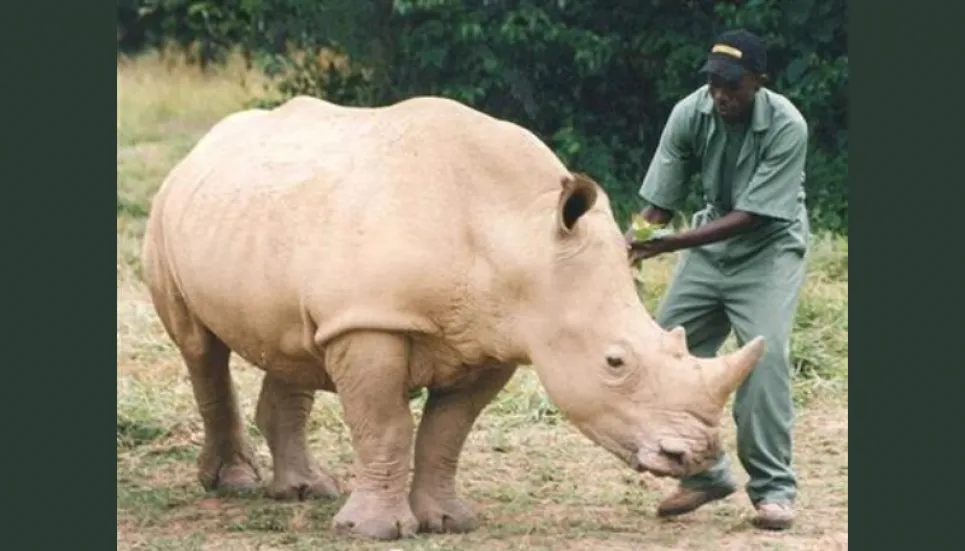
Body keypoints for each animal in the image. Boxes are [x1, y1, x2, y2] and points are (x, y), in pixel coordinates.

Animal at [141, 94, 760, 540]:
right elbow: (386, 426)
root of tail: (204, 144)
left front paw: (449, 523)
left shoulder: (496, 338)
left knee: (294, 346)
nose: (694, 453)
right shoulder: (372, 321)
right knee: (200, 348)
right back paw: (235, 485)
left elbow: (446, 433)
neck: (520, 237)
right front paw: (373, 532)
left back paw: (306, 490)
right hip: (169, 208)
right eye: (615, 362)